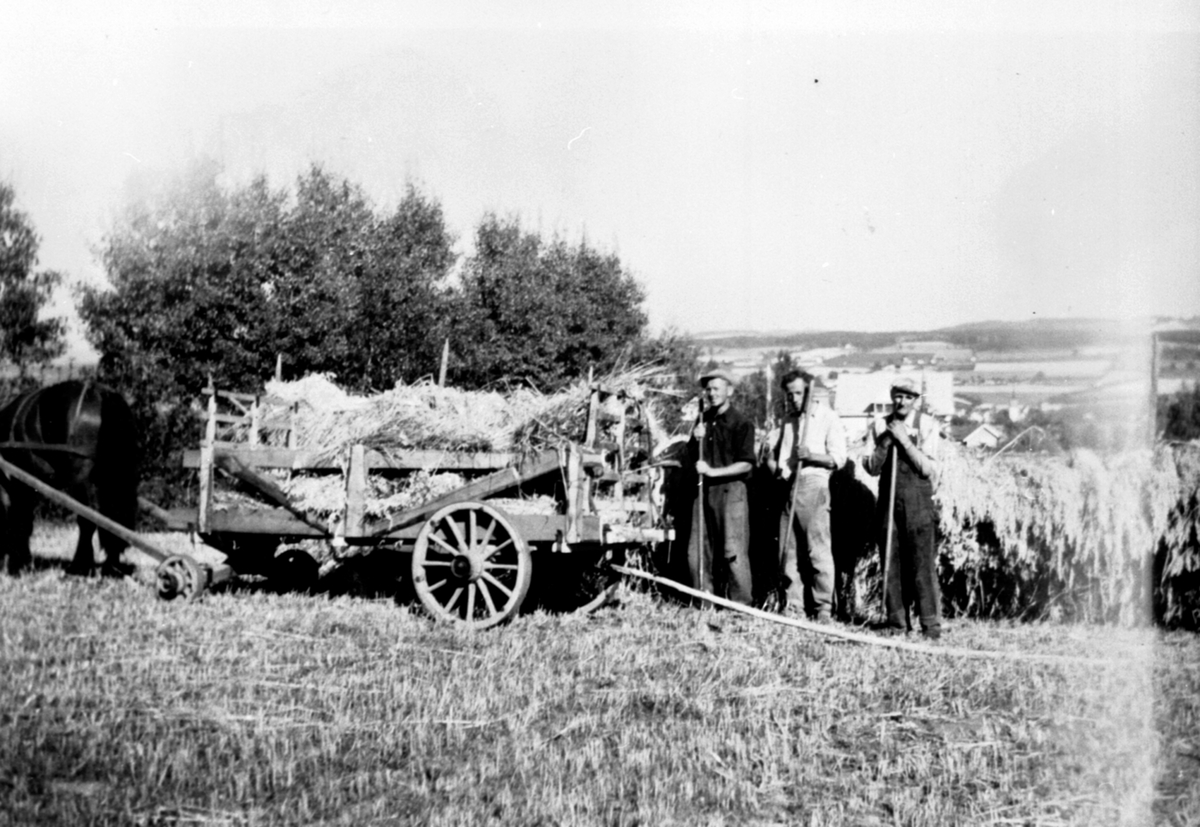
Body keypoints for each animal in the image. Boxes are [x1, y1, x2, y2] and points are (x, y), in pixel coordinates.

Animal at [0, 381, 138, 573]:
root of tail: (101, 393)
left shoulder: (17, 480)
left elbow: (19, 517)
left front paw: (17, 561)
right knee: (112, 519)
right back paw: (111, 564)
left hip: (82, 479)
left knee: (88, 518)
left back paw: (80, 564)